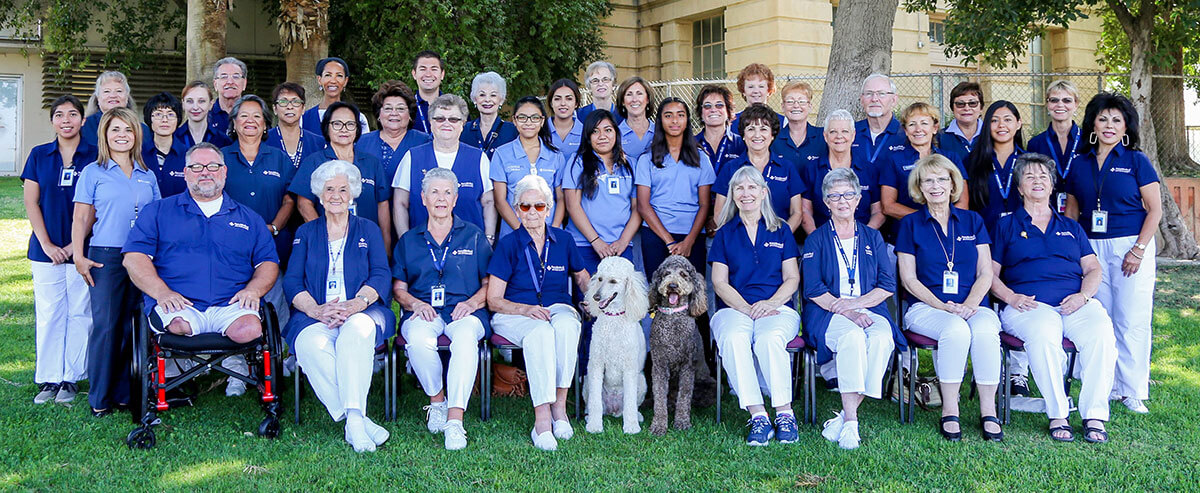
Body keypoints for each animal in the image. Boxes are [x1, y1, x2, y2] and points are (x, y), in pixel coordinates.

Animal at [648, 254, 710, 436]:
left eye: (683, 274)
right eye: (666, 274)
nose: (672, 285)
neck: (673, 317)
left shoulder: (687, 366)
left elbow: (684, 397)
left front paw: (682, 422)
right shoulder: (659, 366)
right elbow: (659, 397)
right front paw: (658, 425)